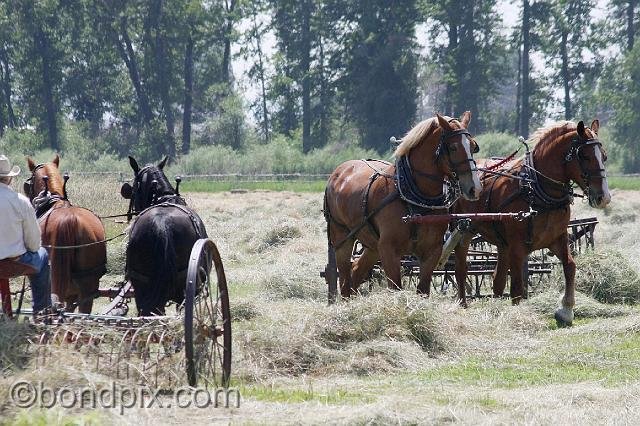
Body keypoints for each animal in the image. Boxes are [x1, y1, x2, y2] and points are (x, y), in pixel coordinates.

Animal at [324, 114, 480, 300]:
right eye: (454, 147)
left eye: (473, 146)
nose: (474, 188)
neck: (415, 200)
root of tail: (339, 171)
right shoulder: (389, 250)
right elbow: (396, 287)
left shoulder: (432, 251)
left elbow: (423, 289)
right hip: (342, 238)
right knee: (345, 279)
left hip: (372, 245)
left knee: (356, 271)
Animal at [452, 118, 612, 324]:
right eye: (584, 156)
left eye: (604, 157)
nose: (604, 197)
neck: (535, 188)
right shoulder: (517, 247)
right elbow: (517, 287)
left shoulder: (556, 238)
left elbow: (570, 266)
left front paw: (566, 310)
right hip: (463, 229)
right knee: (461, 269)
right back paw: (462, 304)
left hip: (502, 242)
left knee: (497, 279)